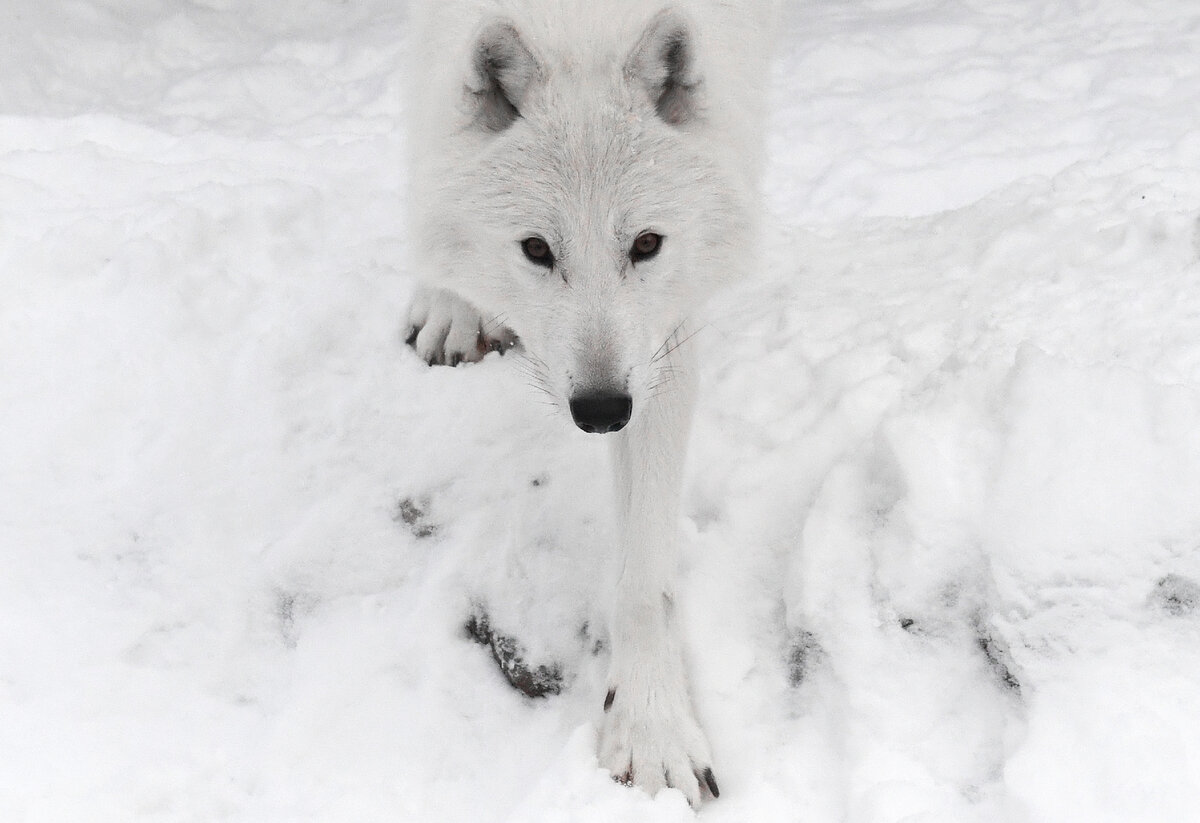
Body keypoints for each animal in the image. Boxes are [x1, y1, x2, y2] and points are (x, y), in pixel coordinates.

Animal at [403, 0, 777, 806]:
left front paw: (651, 729)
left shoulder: (659, 345)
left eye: (647, 244)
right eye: (538, 250)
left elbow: (643, 577)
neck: (578, 18)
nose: (603, 410)